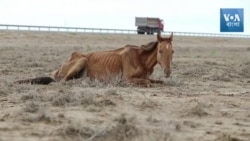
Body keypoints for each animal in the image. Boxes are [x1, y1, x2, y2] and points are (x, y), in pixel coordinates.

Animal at [15, 32, 174, 86]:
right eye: (160, 51)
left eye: (172, 51)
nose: (167, 72)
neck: (140, 59)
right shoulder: (126, 79)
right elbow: (148, 83)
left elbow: (157, 82)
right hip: (81, 61)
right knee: (63, 82)